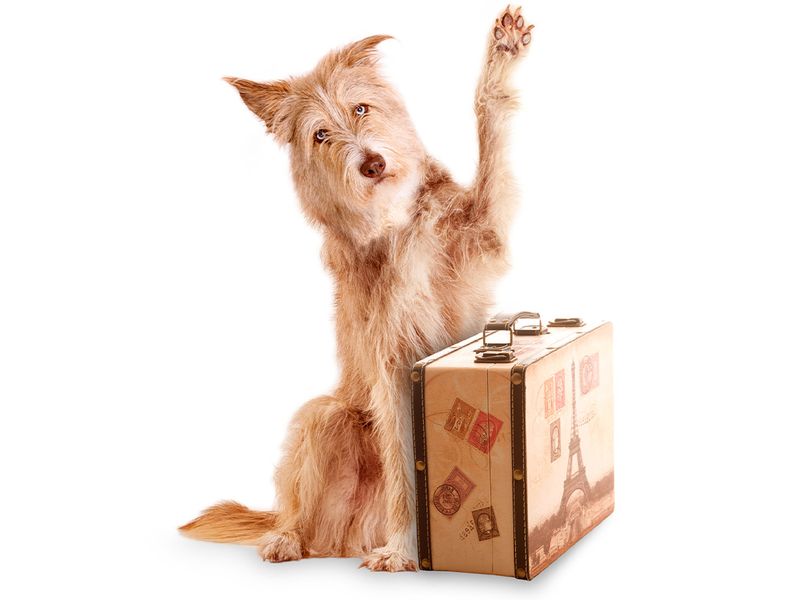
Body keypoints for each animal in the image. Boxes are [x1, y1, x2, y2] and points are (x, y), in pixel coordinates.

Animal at [179, 8, 536, 572]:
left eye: (361, 108)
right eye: (321, 135)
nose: (371, 164)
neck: (397, 222)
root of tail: (348, 537)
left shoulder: (486, 228)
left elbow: (490, 121)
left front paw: (501, 53)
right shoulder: (392, 364)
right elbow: (405, 464)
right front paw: (404, 548)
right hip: (328, 419)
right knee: (299, 507)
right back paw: (287, 539)